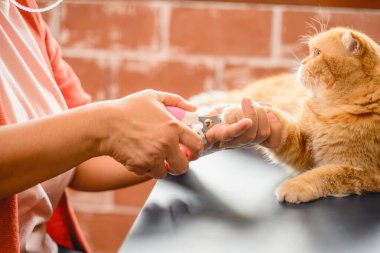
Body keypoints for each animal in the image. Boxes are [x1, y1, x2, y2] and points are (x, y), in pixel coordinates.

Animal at [193, 27, 380, 205]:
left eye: (317, 53)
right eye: (311, 51)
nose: (302, 62)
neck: (328, 110)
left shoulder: (363, 172)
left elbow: (326, 174)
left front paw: (295, 185)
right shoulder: (301, 143)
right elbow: (278, 121)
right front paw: (241, 111)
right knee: (224, 96)